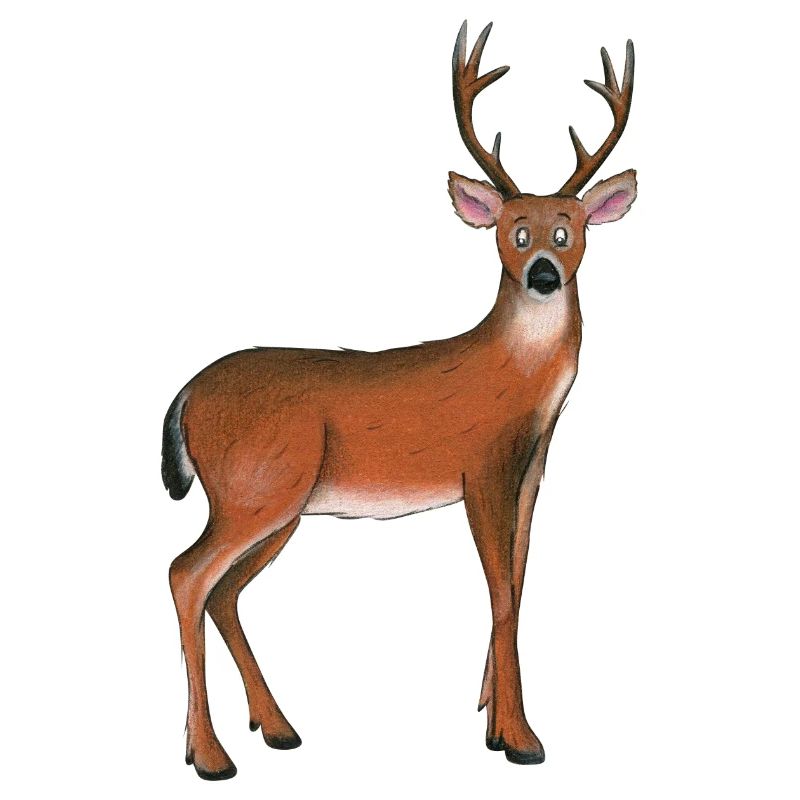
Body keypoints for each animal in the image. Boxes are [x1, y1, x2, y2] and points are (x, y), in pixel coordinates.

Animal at [162, 21, 637, 780]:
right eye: (515, 231)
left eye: (569, 230)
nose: (542, 274)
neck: (516, 381)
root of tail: (184, 396)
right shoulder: (482, 468)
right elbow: (501, 594)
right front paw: (521, 739)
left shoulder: (531, 474)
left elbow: (520, 584)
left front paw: (492, 722)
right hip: (254, 488)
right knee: (186, 575)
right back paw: (209, 755)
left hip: (278, 505)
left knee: (224, 592)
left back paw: (275, 728)